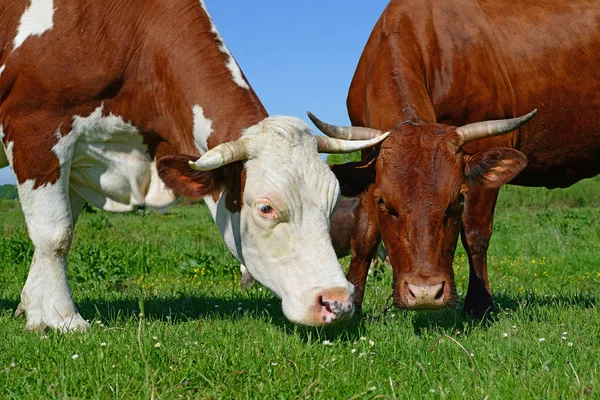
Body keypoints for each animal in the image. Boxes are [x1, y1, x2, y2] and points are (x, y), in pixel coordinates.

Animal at [0, 0, 386, 332]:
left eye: (333, 203)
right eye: (266, 208)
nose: (337, 302)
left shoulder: (82, 157)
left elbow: (60, 229)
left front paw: (34, 310)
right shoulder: (36, 130)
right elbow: (55, 235)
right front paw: (63, 318)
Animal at [310, 0, 600, 318]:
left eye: (457, 201)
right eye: (385, 203)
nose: (425, 293)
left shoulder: (488, 146)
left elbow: (475, 233)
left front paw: (479, 304)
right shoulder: (368, 159)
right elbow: (364, 235)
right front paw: (353, 308)